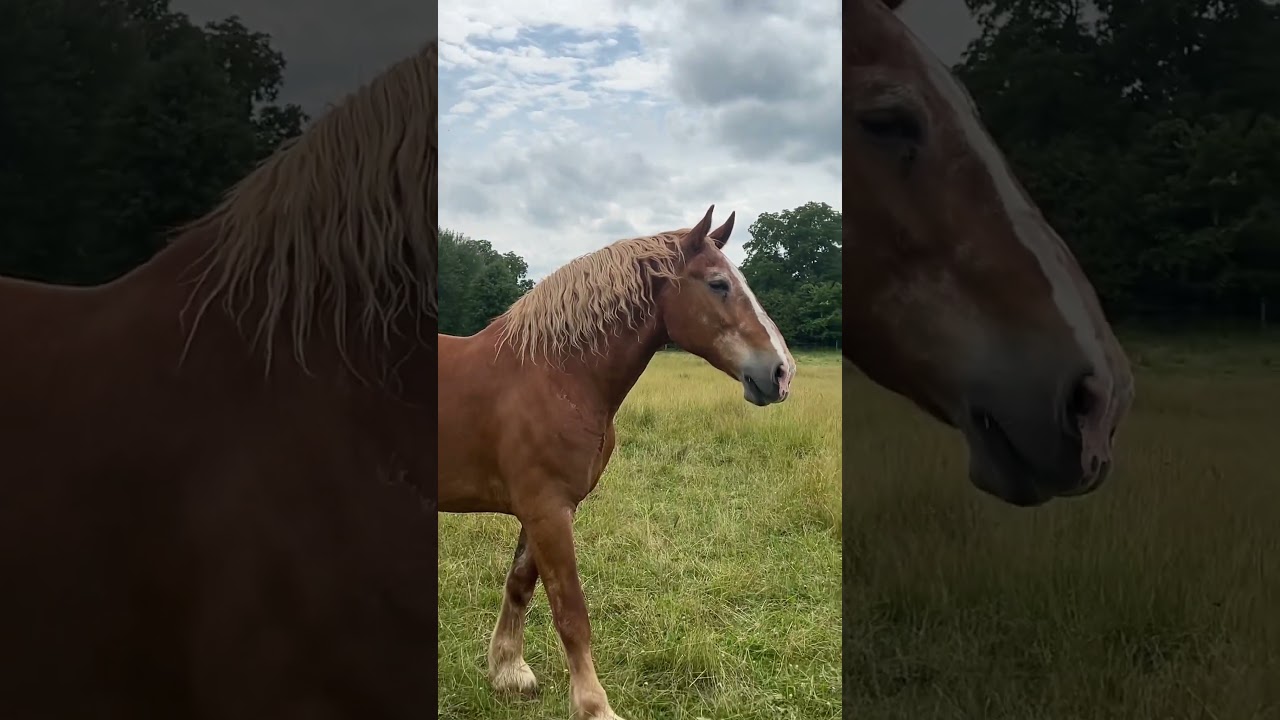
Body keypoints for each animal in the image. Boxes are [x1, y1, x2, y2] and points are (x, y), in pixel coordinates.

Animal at [438, 206, 795, 720]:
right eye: (718, 284)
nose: (782, 373)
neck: (554, 374)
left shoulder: (539, 511)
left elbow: (520, 583)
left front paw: (508, 671)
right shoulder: (548, 511)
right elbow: (571, 612)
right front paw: (594, 705)